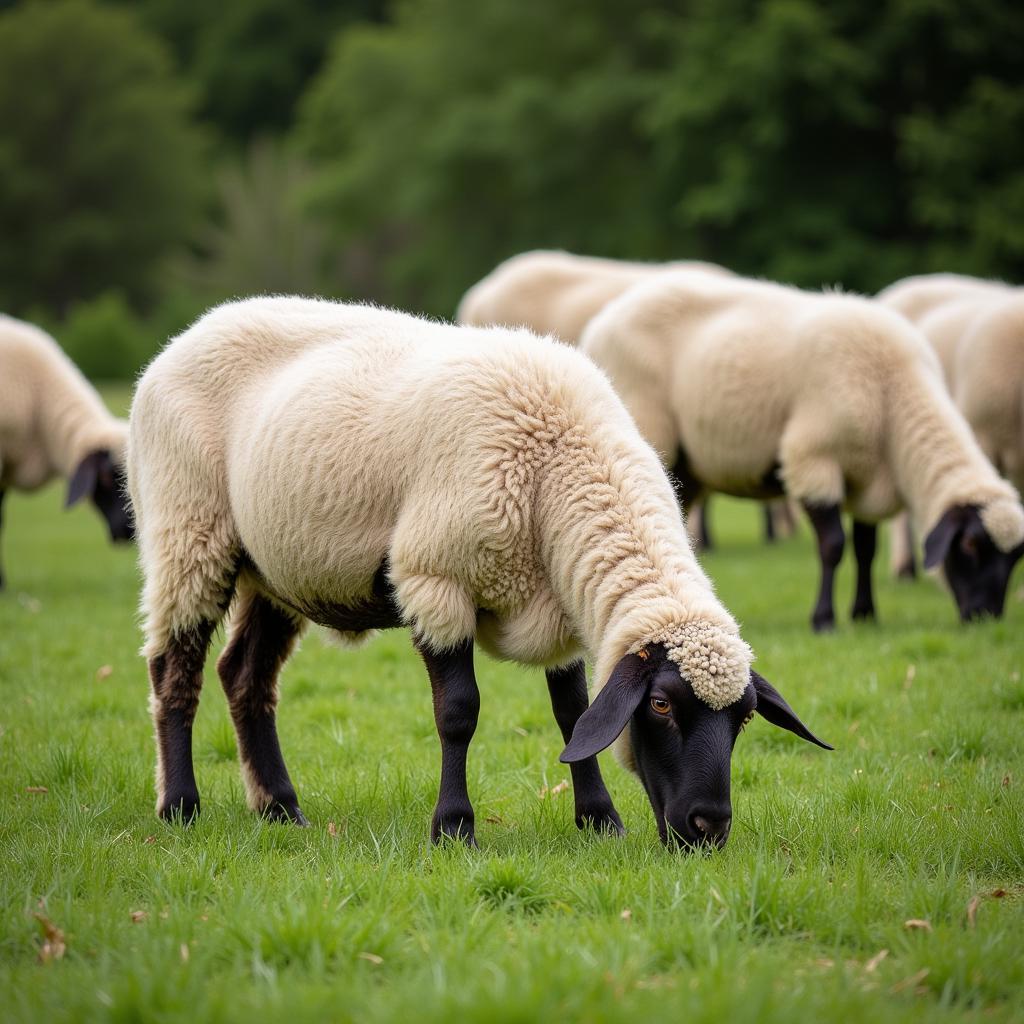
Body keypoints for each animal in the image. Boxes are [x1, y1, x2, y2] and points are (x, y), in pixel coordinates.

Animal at [130, 294, 831, 847]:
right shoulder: (434, 580)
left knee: (244, 676)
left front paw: (599, 820)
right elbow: (458, 714)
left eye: (744, 717)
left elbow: (574, 715)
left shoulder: (558, 607)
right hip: (188, 534)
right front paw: (453, 827)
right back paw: (180, 807)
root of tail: (186, 336)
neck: (558, 465)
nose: (709, 829)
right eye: (659, 704)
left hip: (276, 568)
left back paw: (280, 809)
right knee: (175, 671)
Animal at [577, 270, 1024, 630]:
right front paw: (824, 620)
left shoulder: (864, 476)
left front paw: (865, 614)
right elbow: (833, 546)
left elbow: (865, 549)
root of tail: (603, 319)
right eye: (970, 546)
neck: (893, 397)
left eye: (1015, 558)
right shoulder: (813, 458)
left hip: (688, 467)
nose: (986, 616)